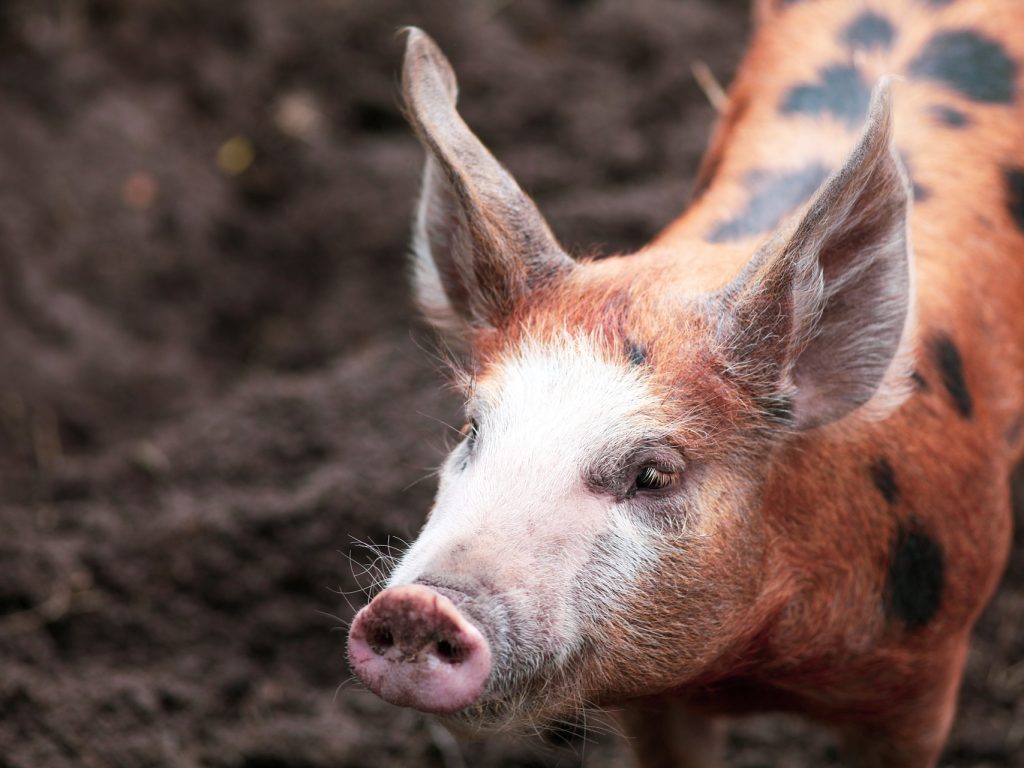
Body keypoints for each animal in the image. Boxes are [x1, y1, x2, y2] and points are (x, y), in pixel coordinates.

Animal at [346, 3, 1024, 765]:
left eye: (653, 474)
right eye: (471, 430)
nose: (416, 607)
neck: (751, 667)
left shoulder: (921, 683)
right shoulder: (651, 702)